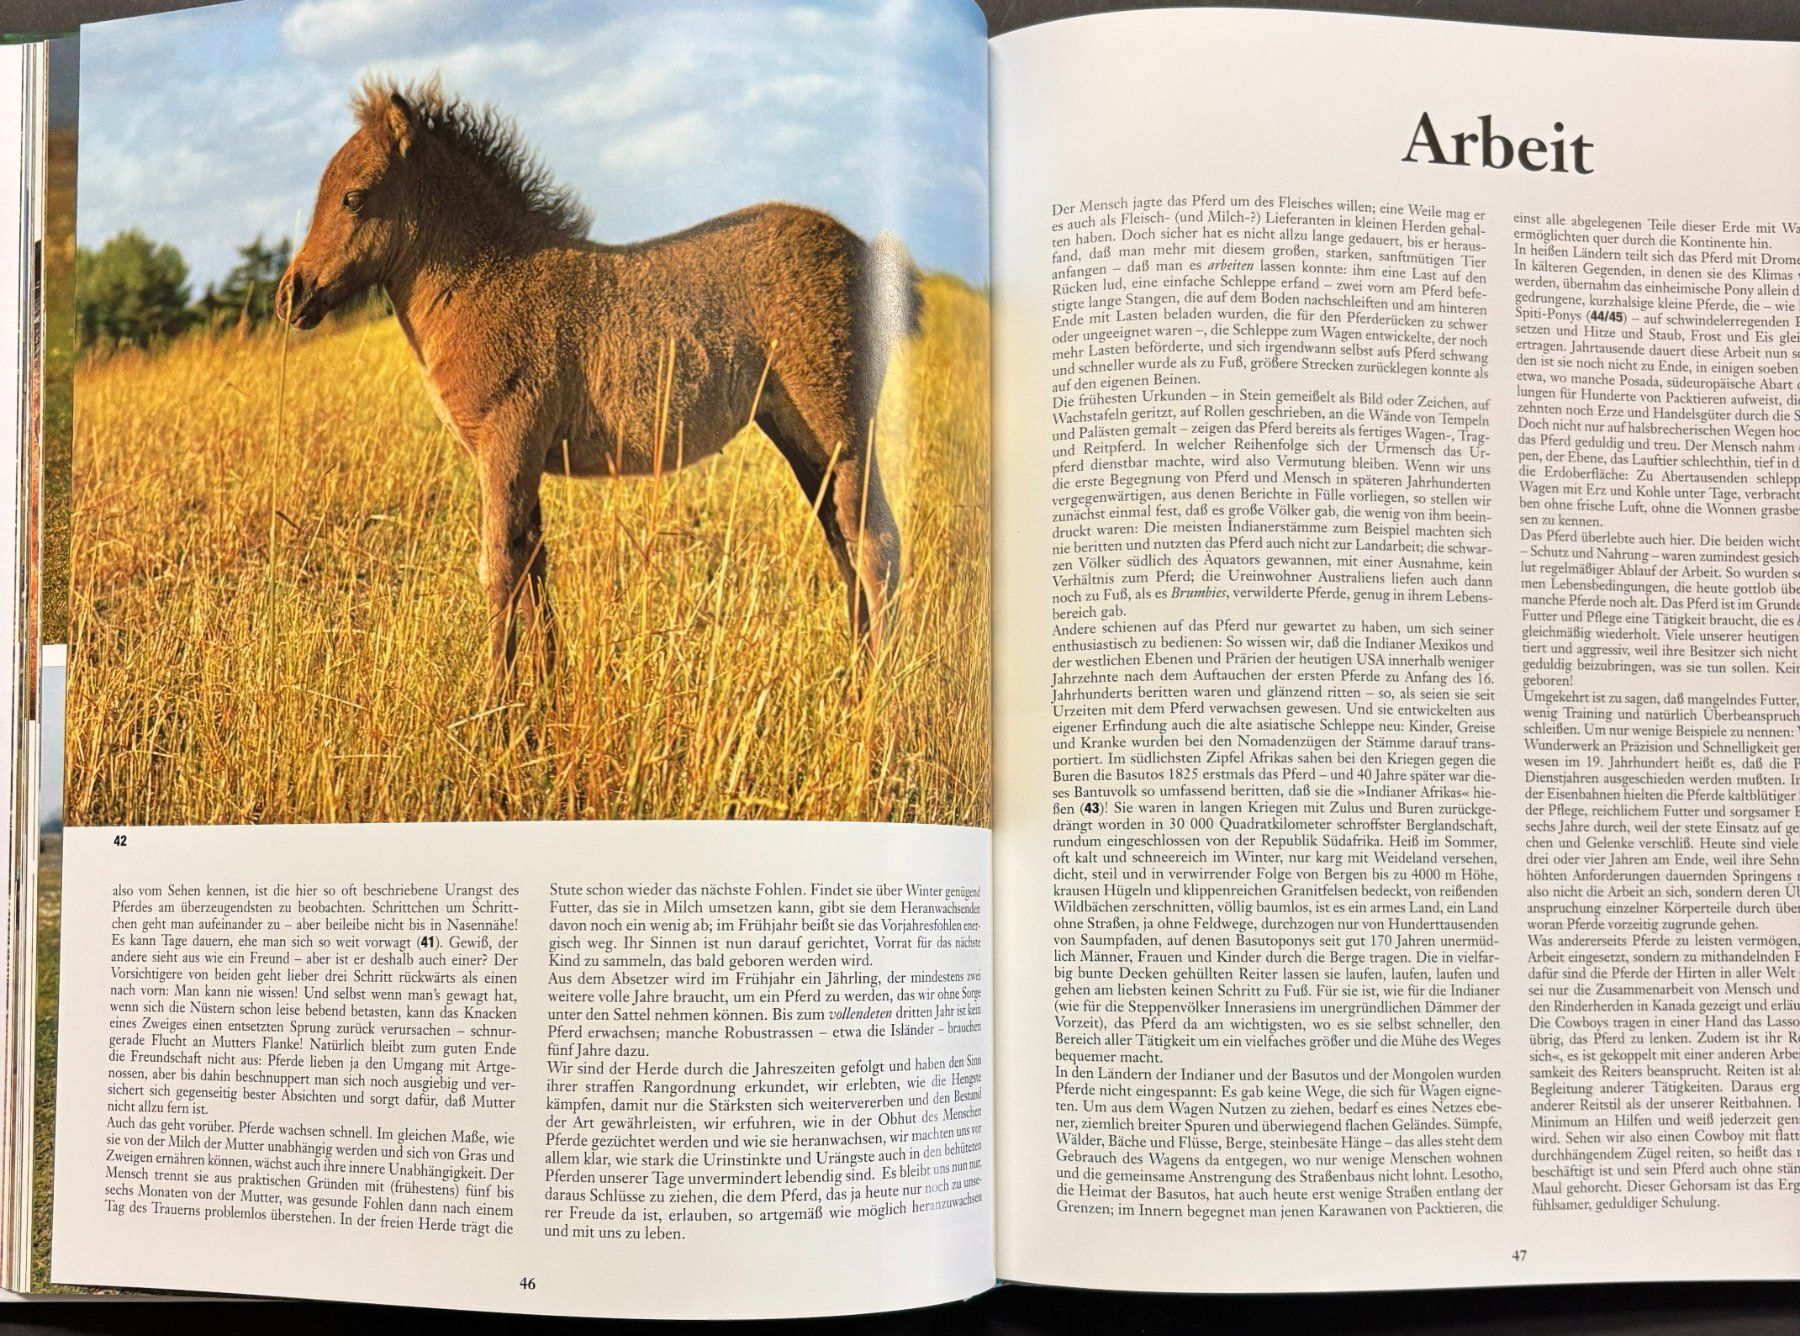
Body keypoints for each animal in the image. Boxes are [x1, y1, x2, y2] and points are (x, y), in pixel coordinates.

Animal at [277, 79, 912, 683]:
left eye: (354, 198)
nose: (291, 294)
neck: (486, 279)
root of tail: (871, 258)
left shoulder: (505, 446)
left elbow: (499, 568)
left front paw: (495, 705)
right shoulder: (522, 458)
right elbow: (533, 564)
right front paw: (545, 690)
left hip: (843, 429)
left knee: (876, 543)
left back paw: (880, 695)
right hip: (802, 439)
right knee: (843, 540)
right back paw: (856, 678)